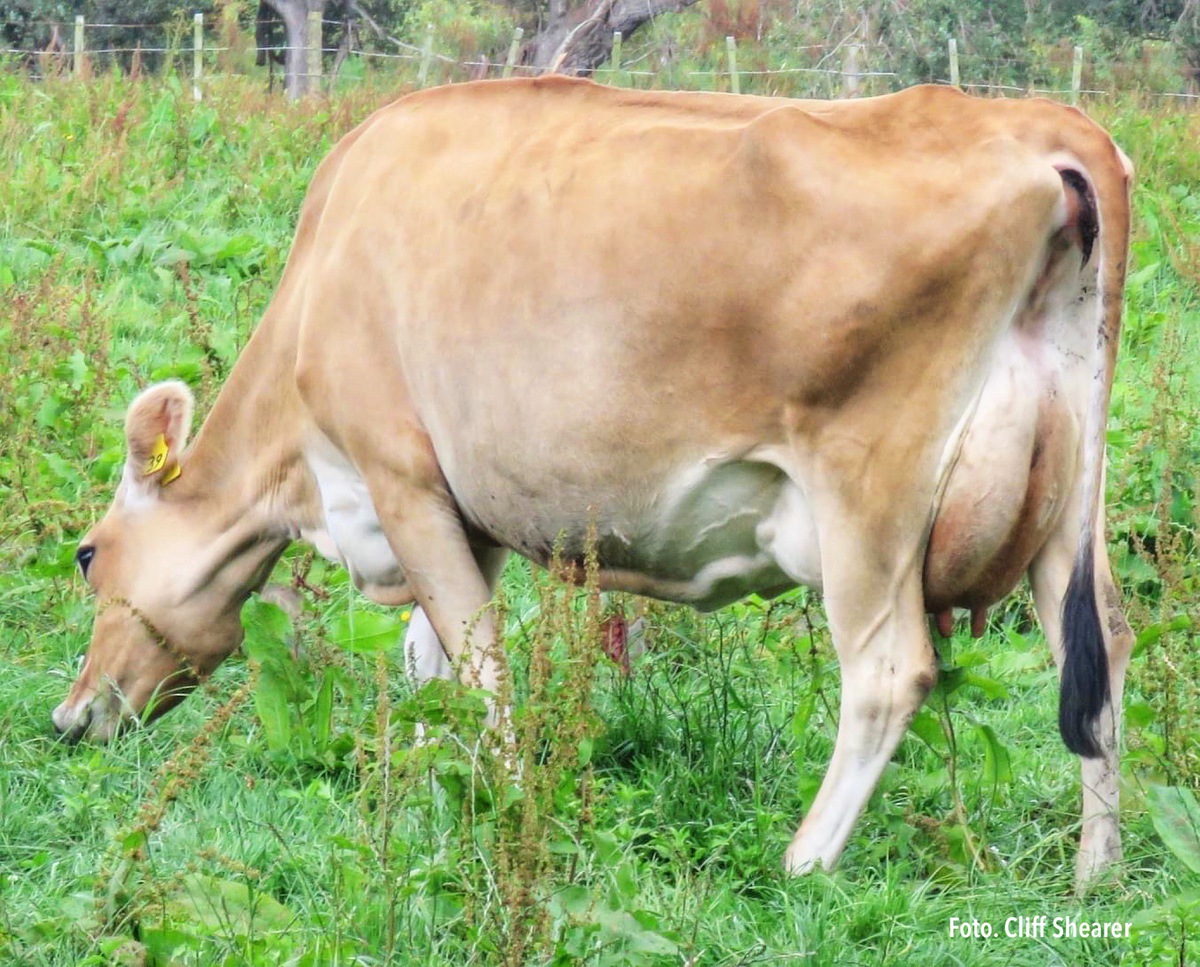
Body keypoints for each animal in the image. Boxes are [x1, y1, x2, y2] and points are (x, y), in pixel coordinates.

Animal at [51, 77, 1135, 891]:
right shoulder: (467, 511)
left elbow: (478, 666)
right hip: (1069, 491)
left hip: (869, 492)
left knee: (888, 670)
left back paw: (803, 861)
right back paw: (1097, 874)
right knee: (1100, 644)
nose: (69, 717)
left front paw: (503, 813)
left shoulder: (401, 475)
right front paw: (434, 797)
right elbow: (430, 666)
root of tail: (1048, 127)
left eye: (89, 555)